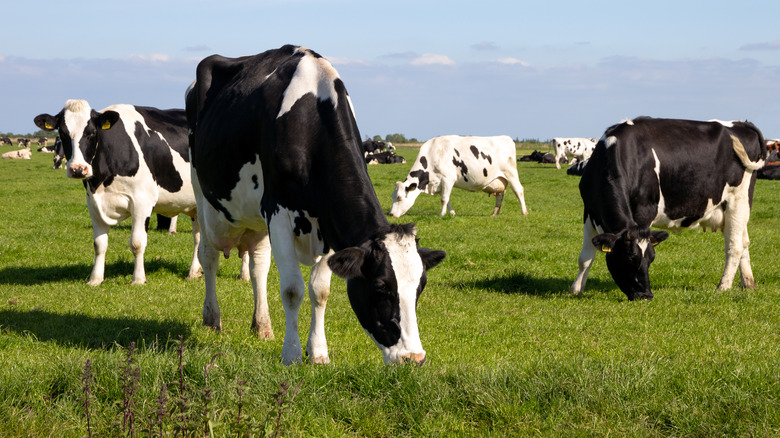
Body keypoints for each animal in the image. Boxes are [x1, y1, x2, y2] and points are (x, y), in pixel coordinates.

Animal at [35, 98, 203, 284]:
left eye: (92, 133)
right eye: (63, 133)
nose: (78, 169)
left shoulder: (142, 201)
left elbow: (137, 243)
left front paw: (138, 280)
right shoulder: (93, 203)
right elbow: (99, 244)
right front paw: (95, 280)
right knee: (199, 237)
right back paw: (194, 272)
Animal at [184, 45, 444, 366]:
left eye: (420, 286)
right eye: (381, 287)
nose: (414, 357)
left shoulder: (328, 222)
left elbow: (320, 291)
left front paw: (318, 352)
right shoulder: (278, 213)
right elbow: (292, 289)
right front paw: (292, 354)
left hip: (256, 217)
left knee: (258, 266)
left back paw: (262, 325)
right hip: (202, 195)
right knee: (209, 256)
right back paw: (212, 318)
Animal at [390, 133, 532, 216]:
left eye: (399, 197)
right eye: (392, 196)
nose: (391, 214)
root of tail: (506, 137)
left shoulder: (448, 179)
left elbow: (444, 199)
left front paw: (441, 215)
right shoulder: (441, 183)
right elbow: (447, 199)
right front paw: (452, 213)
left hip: (511, 173)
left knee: (519, 191)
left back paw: (524, 212)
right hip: (498, 179)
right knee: (500, 195)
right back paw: (494, 213)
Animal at [568, 116, 764, 302]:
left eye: (651, 259)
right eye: (629, 258)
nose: (645, 295)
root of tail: (742, 124)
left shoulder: (644, 211)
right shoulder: (589, 211)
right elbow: (585, 257)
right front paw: (576, 290)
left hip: (738, 200)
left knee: (735, 246)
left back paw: (723, 286)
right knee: (744, 242)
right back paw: (748, 284)